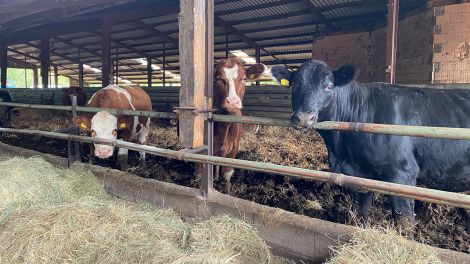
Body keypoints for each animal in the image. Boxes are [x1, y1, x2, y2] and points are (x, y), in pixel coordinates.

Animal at [270, 58, 470, 228]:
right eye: (295, 85)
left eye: (329, 86)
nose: (304, 118)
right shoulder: (361, 176)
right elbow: (362, 213)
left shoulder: (403, 173)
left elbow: (404, 223)